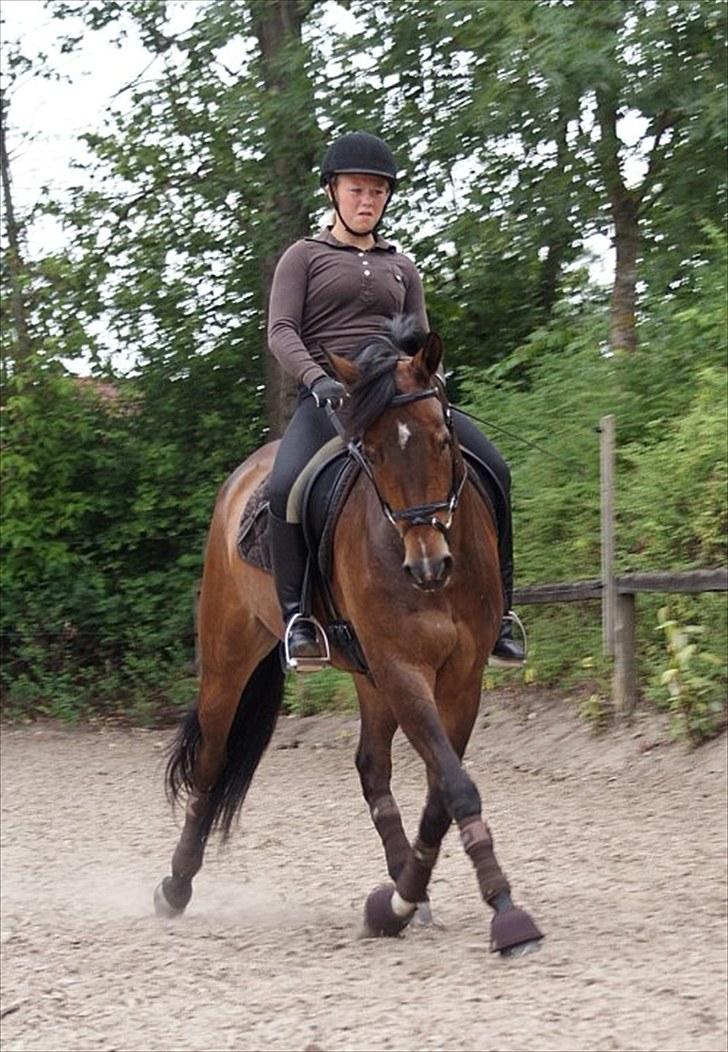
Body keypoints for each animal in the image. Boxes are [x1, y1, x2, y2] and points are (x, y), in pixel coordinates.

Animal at [154, 322, 543, 956]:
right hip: (230, 658)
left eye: (443, 440)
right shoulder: (402, 667)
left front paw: (399, 902)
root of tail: (243, 477)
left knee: (371, 769)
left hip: (367, 675)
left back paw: (406, 891)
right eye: (375, 453)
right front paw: (507, 914)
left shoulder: (461, 675)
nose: (429, 566)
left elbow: (442, 792)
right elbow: (456, 787)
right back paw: (175, 886)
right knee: (211, 764)